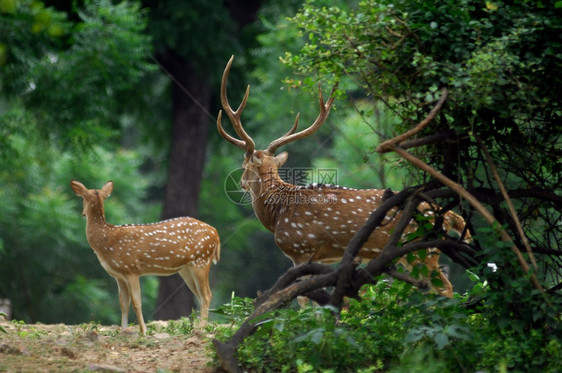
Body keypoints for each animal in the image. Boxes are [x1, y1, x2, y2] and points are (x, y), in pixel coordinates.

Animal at [70, 179, 219, 332]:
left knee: (207, 294)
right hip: (186, 269)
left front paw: (143, 331)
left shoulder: (131, 269)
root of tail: (215, 233)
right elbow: (123, 304)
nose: (83, 213)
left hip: (202, 260)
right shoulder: (119, 275)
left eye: (82, 198)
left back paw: (202, 328)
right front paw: (123, 330)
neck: (107, 241)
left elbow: (136, 302)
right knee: (200, 296)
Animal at [217, 56, 466, 298]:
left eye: (244, 164)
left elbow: (303, 299)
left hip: (423, 250)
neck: (277, 214)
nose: (241, 183)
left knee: (446, 287)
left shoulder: (301, 249)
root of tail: (448, 215)